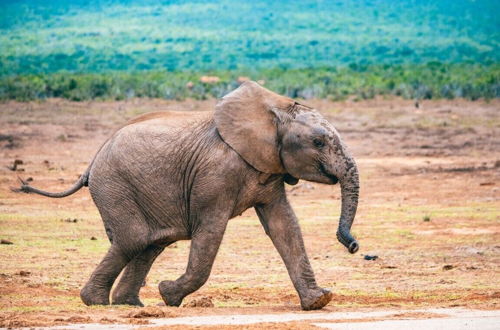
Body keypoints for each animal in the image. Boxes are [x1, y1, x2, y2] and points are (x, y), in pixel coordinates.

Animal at [15, 81, 360, 310]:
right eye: (318, 142)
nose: (354, 246)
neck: (272, 109)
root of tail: (91, 163)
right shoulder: (216, 174)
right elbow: (210, 231)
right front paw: (168, 294)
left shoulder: (268, 169)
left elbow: (285, 227)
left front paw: (319, 301)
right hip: (114, 185)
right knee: (134, 239)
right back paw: (98, 303)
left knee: (149, 244)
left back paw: (130, 305)